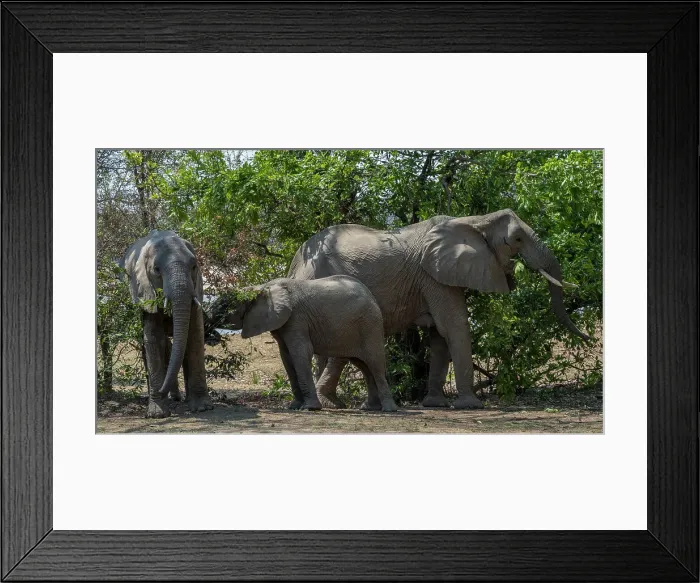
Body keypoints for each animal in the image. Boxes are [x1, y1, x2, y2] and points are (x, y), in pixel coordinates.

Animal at [122, 230, 213, 418]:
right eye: (156, 270)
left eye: (194, 267)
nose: (161, 390)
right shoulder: (146, 292)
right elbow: (154, 338)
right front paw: (157, 414)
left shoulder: (196, 288)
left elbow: (194, 335)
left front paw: (202, 408)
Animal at [223, 276, 398, 412]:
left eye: (232, 304)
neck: (263, 286)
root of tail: (371, 295)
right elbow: (287, 358)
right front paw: (294, 406)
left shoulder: (297, 319)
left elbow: (300, 353)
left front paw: (310, 408)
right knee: (363, 366)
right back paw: (369, 408)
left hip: (370, 326)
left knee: (375, 365)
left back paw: (388, 409)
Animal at [287, 208, 589, 410]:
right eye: (516, 239)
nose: (587, 337)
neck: (474, 220)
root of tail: (295, 260)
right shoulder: (434, 276)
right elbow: (453, 325)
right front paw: (471, 406)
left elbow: (439, 335)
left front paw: (435, 404)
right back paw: (330, 404)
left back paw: (336, 403)